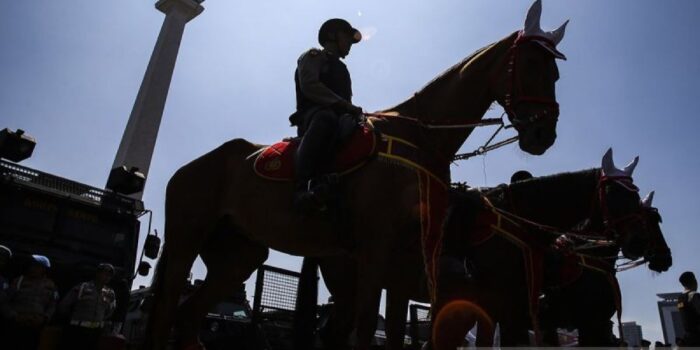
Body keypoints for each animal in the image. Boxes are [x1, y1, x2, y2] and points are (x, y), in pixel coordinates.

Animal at [145, 0, 568, 348]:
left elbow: (394, 332)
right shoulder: (375, 249)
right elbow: (365, 329)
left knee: (188, 317)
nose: (544, 134)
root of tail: (194, 166)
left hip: (239, 255)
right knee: (165, 311)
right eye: (531, 65)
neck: (420, 137)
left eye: (556, 74)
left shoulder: (402, 261)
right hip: (186, 238)